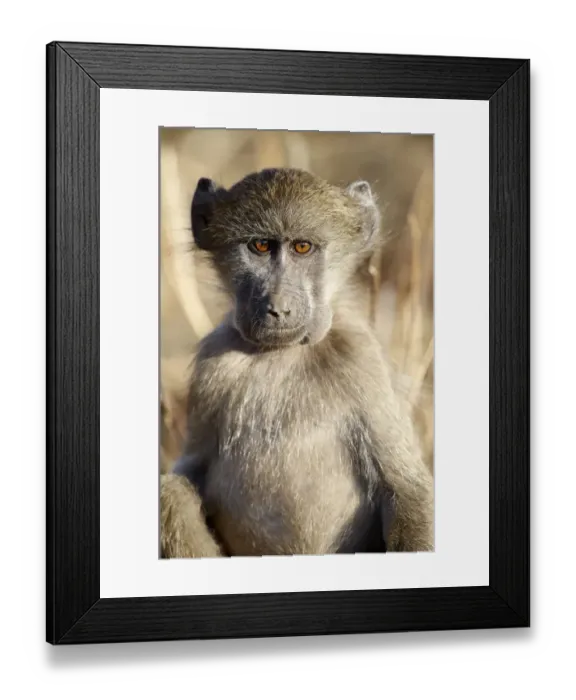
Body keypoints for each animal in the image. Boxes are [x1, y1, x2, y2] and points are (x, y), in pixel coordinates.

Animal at [160, 167, 434, 558]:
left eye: (302, 247)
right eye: (260, 246)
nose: (278, 308)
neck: (284, 353)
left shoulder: (362, 359)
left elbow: (406, 488)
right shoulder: (213, 367)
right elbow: (188, 473)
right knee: (170, 494)